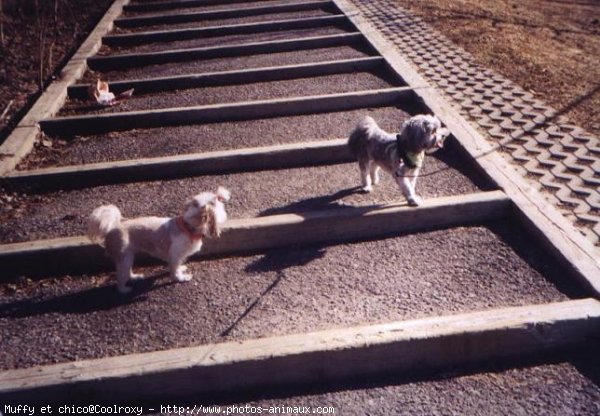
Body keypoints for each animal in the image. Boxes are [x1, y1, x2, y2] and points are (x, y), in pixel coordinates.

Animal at [88, 187, 231, 294]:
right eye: (216, 201)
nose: (221, 196)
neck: (188, 227)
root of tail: (112, 227)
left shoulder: (179, 256)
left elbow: (178, 265)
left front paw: (181, 270)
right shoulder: (174, 255)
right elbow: (174, 269)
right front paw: (180, 278)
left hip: (128, 257)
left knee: (128, 272)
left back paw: (136, 277)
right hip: (124, 258)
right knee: (121, 278)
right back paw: (124, 289)